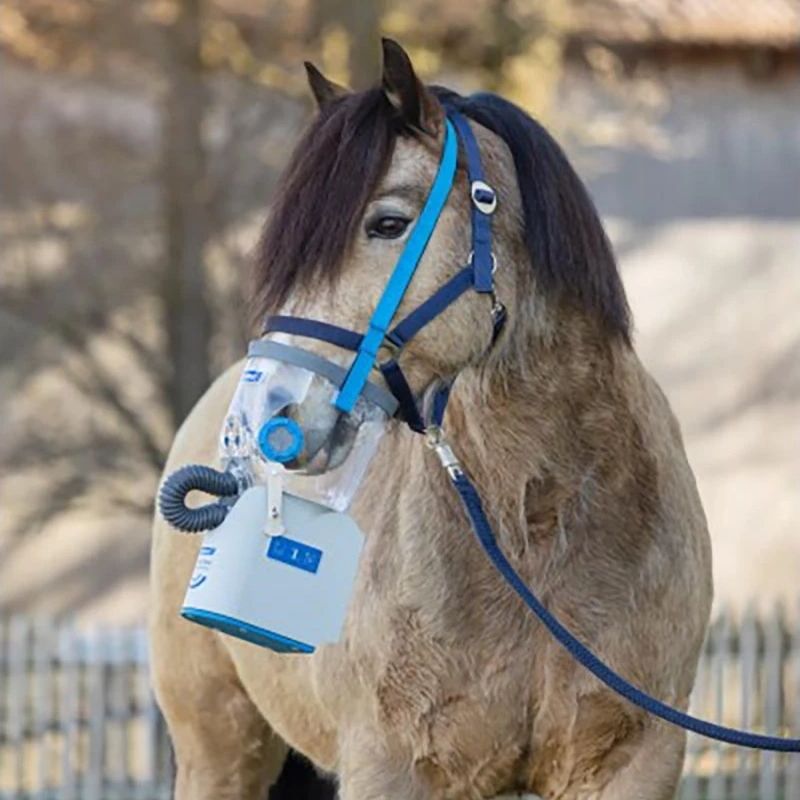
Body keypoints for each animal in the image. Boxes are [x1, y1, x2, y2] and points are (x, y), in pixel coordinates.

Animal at [150, 39, 713, 800]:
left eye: (387, 223)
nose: (268, 414)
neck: (533, 525)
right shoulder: (391, 766)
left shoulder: (632, 763)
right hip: (218, 747)